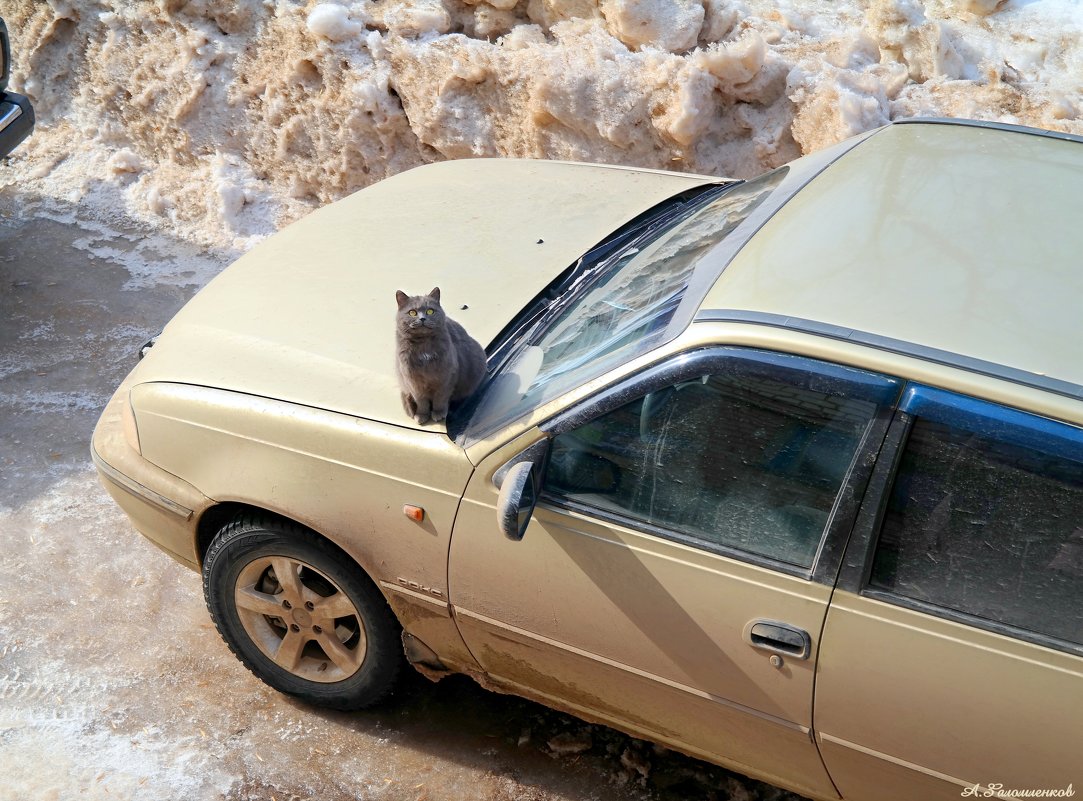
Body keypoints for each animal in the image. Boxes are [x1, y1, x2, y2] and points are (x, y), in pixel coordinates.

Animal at [396, 287, 485, 426]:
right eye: (412, 312)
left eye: (430, 311)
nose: (422, 318)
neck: (424, 347)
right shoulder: (413, 381)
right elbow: (421, 401)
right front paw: (422, 415)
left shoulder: (446, 377)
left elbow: (440, 398)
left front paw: (438, 413)